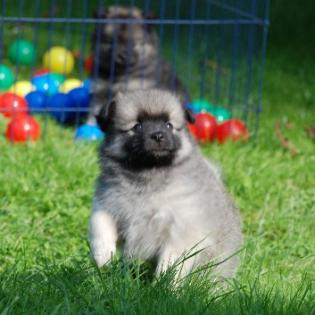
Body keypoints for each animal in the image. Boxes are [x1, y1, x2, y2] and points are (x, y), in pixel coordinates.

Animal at [90, 89, 243, 282]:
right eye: (137, 126)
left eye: (169, 125)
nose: (158, 135)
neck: (148, 174)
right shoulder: (107, 205)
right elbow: (100, 226)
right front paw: (103, 257)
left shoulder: (180, 230)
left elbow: (171, 264)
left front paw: (164, 285)